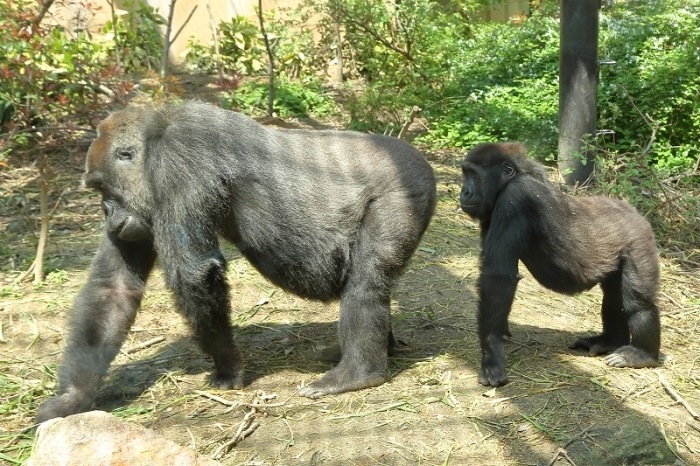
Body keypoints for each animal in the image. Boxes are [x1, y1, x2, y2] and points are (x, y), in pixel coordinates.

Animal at [37, 101, 438, 422]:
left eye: (102, 187)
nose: (106, 213)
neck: (153, 138)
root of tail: (424, 160)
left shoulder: (177, 159)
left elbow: (194, 274)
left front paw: (228, 367)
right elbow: (114, 288)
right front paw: (71, 398)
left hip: (406, 189)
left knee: (367, 282)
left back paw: (359, 372)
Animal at [462, 141, 660, 386]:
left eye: (473, 175)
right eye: (465, 173)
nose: (464, 191)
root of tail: (634, 212)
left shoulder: (516, 197)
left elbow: (497, 277)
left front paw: (491, 353)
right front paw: (500, 333)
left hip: (639, 239)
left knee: (638, 301)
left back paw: (643, 354)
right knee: (614, 296)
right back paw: (610, 341)